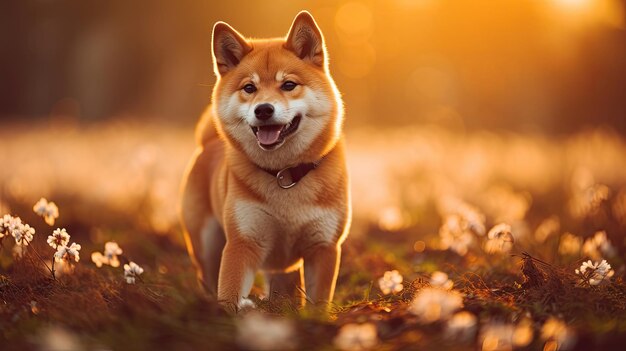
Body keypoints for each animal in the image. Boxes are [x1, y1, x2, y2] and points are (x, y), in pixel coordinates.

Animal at [178, 10, 348, 310]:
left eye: (288, 85)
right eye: (249, 88)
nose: (264, 109)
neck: (285, 175)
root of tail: (207, 143)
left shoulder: (323, 247)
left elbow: (318, 301)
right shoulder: (243, 243)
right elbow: (230, 294)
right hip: (207, 248)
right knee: (208, 280)